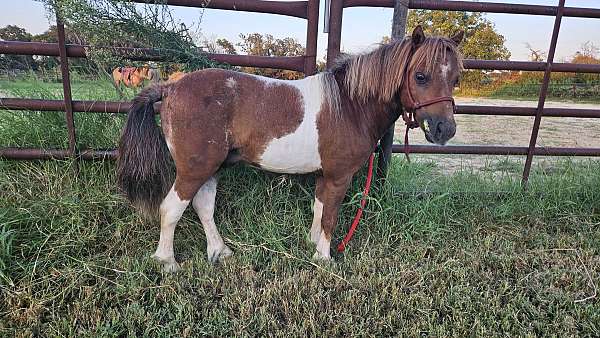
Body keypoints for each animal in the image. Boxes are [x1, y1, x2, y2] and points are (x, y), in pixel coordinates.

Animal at [117, 25, 464, 272]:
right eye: (420, 76)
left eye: (456, 79)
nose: (444, 129)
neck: (350, 105)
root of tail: (171, 87)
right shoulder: (339, 176)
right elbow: (330, 217)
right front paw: (324, 259)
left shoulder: (325, 175)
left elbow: (319, 209)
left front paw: (312, 245)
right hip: (194, 168)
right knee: (171, 209)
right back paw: (167, 263)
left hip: (212, 167)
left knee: (203, 207)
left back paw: (220, 252)